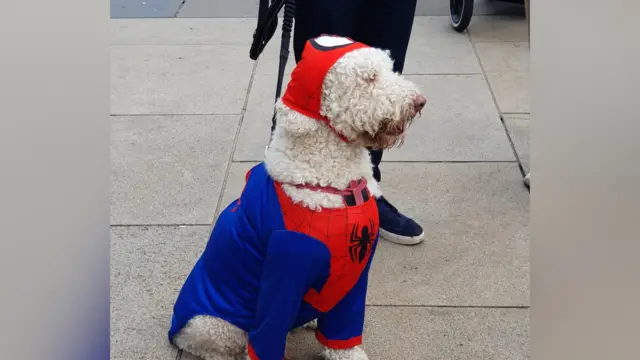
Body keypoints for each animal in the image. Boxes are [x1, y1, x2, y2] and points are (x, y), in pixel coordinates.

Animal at [169, 35, 424, 360]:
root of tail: (178, 332)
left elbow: (345, 332)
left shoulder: (356, 273)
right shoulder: (284, 270)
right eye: (369, 78)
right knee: (221, 346)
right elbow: (268, 334)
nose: (419, 101)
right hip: (213, 323)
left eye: (389, 67)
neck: (332, 185)